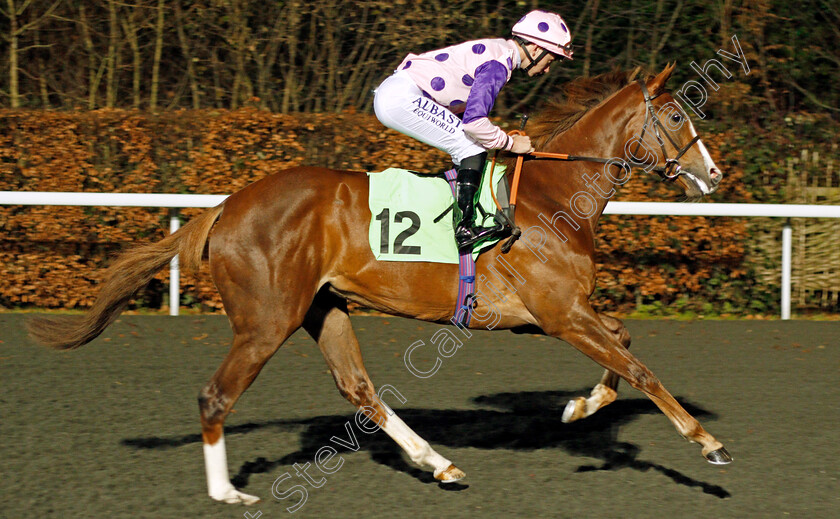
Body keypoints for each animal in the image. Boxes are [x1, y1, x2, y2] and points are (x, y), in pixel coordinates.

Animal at [31, 63, 728, 506]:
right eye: (674, 113)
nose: (714, 175)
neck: (553, 198)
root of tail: (227, 207)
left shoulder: (561, 313)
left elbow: (625, 341)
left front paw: (580, 405)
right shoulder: (557, 314)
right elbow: (639, 368)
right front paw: (708, 444)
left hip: (325, 308)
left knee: (358, 388)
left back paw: (438, 462)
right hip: (267, 320)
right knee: (216, 395)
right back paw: (227, 491)